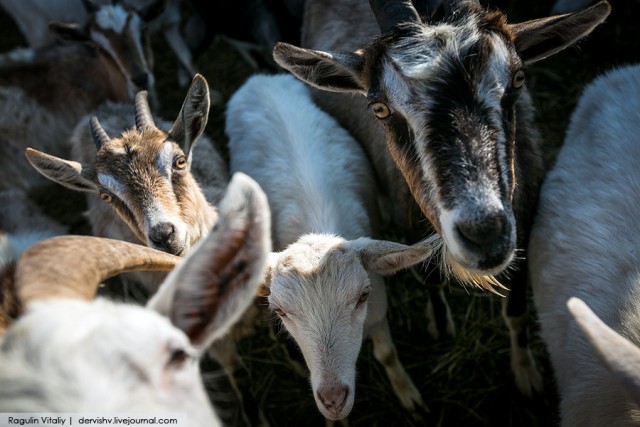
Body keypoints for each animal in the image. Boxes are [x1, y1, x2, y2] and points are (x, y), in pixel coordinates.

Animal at [228, 72, 432, 422]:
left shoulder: (377, 309)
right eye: (279, 311)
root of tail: (259, 78)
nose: (334, 399)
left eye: (362, 296)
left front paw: (408, 395)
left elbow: (387, 354)